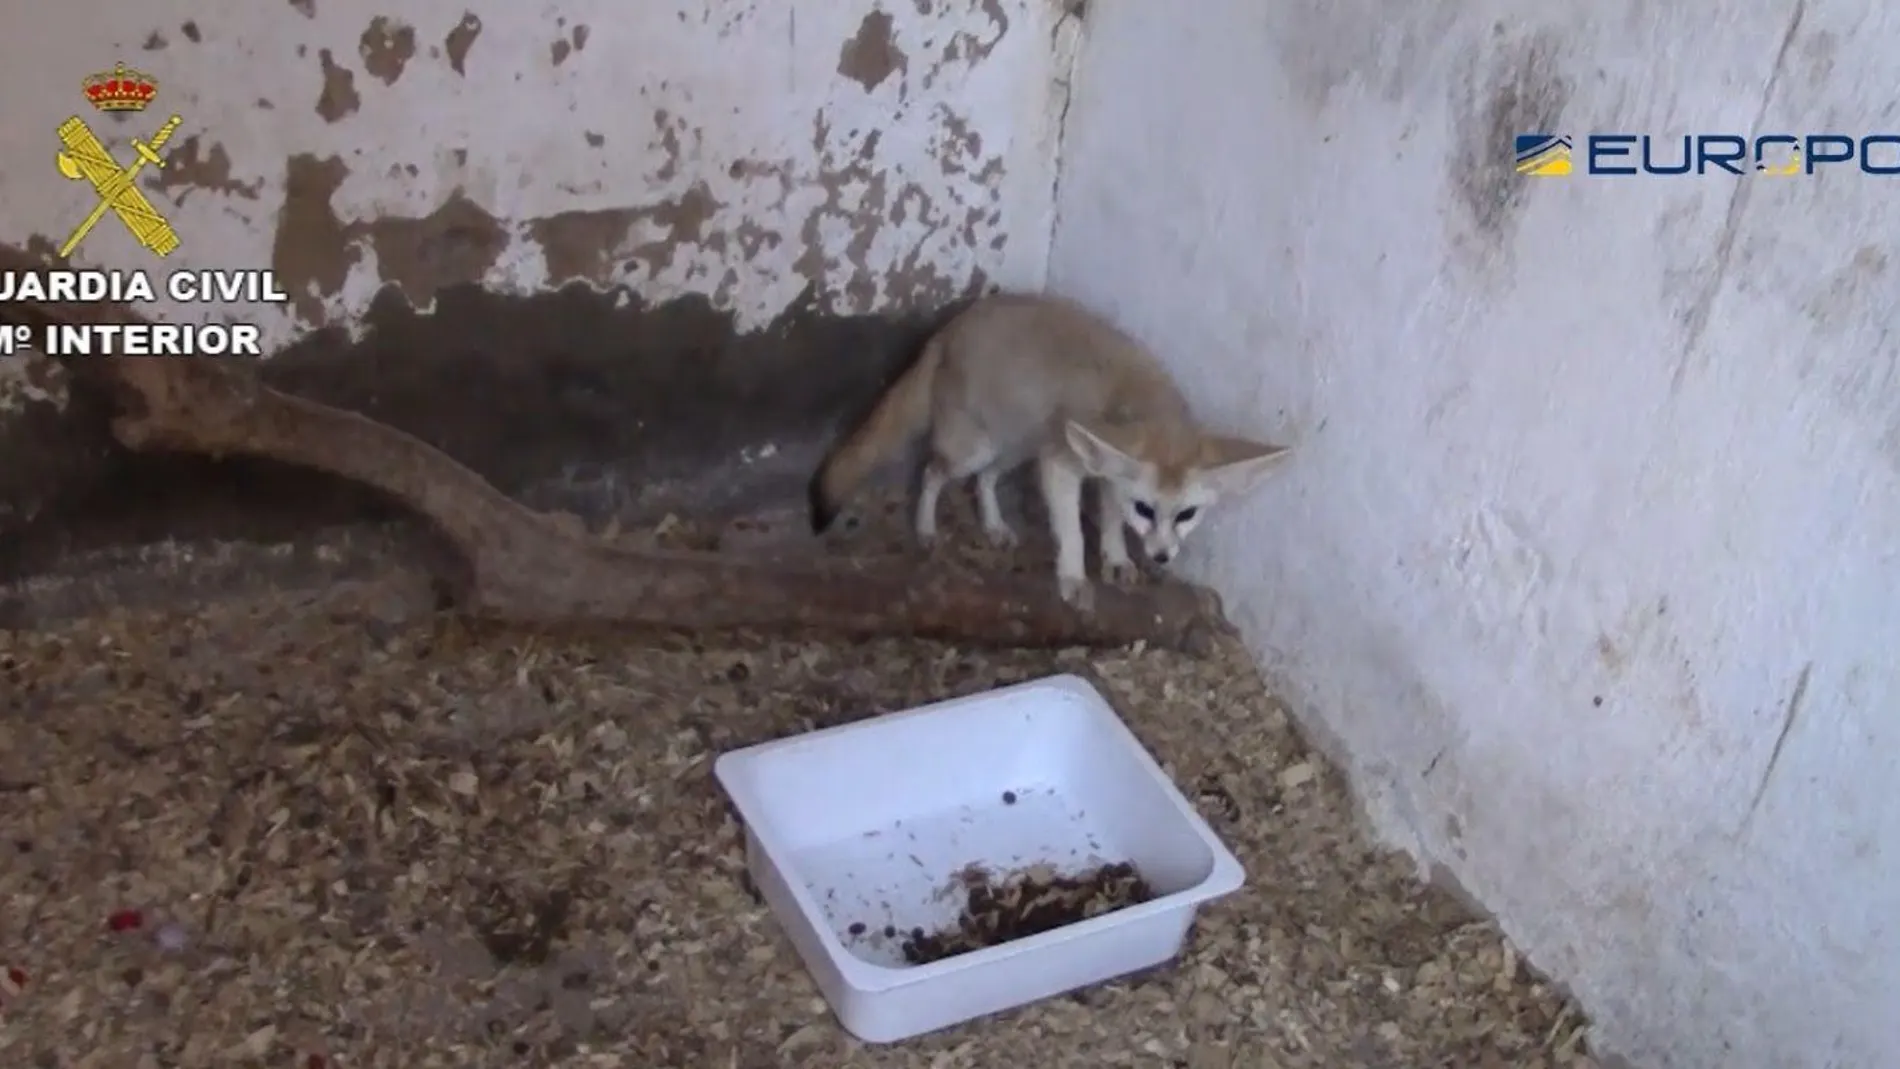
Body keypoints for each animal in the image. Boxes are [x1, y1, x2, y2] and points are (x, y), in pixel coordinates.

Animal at [805, 292, 1292, 611]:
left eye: (1187, 514)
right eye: (1146, 510)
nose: (1161, 557)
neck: (1139, 397)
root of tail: (950, 328)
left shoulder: (1102, 472)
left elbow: (1109, 522)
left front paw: (1116, 558)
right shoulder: (1062, 464)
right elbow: (1074, 531)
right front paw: (1074, 576)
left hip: (1019, 446)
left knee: (985, 479)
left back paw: (994, 525)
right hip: (979, 448)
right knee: (932, 472)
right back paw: (925, 528)